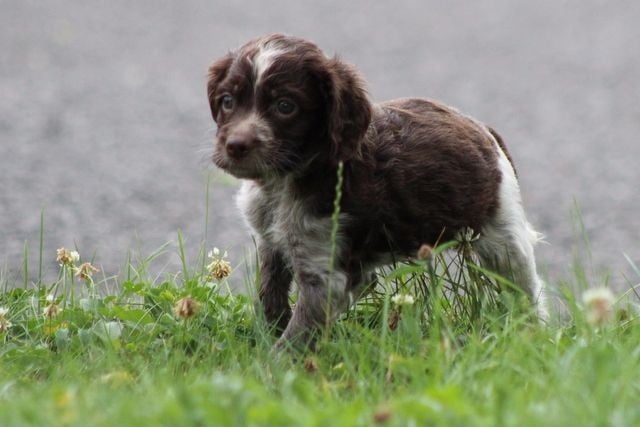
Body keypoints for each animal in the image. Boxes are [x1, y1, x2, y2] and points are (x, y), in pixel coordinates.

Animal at [208, 34, 548, 352]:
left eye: (285, 107)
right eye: (227, 101)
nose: (236, 146)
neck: (284, 182)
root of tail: (482, 129)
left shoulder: (329, 275)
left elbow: (296, 335)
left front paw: (274, 366)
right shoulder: (272, 244)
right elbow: (269, 295)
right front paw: (267, 336)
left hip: (503, 238)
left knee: (528, 291)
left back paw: (531, 335)